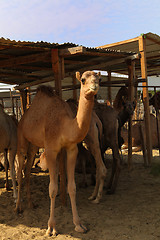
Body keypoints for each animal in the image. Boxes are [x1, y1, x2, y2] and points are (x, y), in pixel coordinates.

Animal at [15, 70, 100, 235]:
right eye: (83, 79)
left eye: (98, 78)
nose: (94, 86)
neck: (65, 125)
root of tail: (23, 116)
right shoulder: (50, 150)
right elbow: (53, 188)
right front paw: (51, 228)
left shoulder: (71, 149)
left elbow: (72, 187)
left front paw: (79, 225)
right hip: (21, 137)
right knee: (20, 169)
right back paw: (18, 208)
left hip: (34, 145)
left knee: (27, 171)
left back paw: (31, 204)